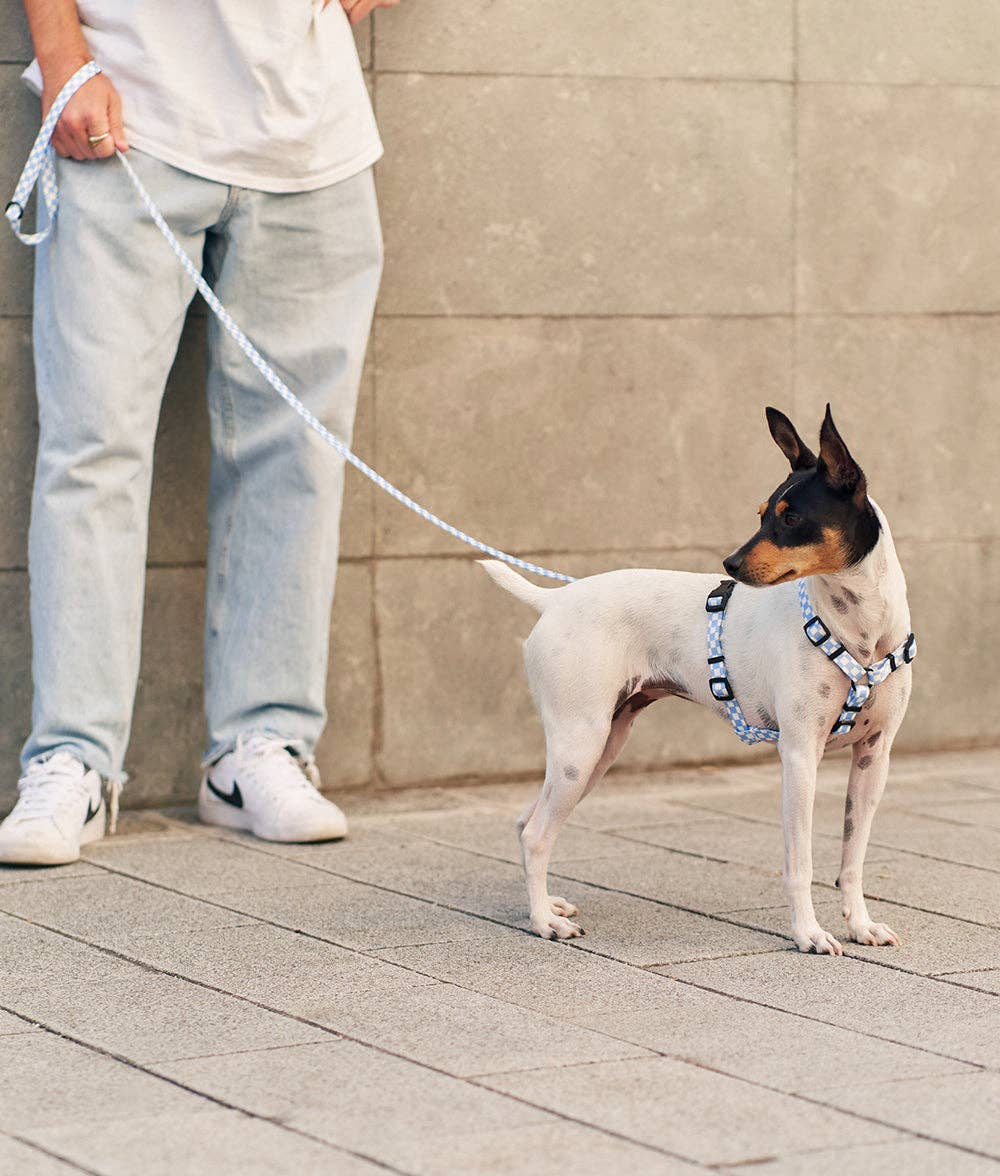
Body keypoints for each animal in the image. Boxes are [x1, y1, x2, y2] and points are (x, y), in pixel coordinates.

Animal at [482, 406, 912, 954]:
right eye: (762, 513)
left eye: (791, 517)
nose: (729, 563)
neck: (859, 631)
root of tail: (556, 599)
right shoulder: (799, 756)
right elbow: (800, 863)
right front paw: (809, 934)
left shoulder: (874, 757)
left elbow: (852, 859)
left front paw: (859, 925)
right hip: (581, 746)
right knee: (536, 833)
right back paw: (543, 923)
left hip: (598, 750)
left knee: (526, 821)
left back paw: (545, 906)